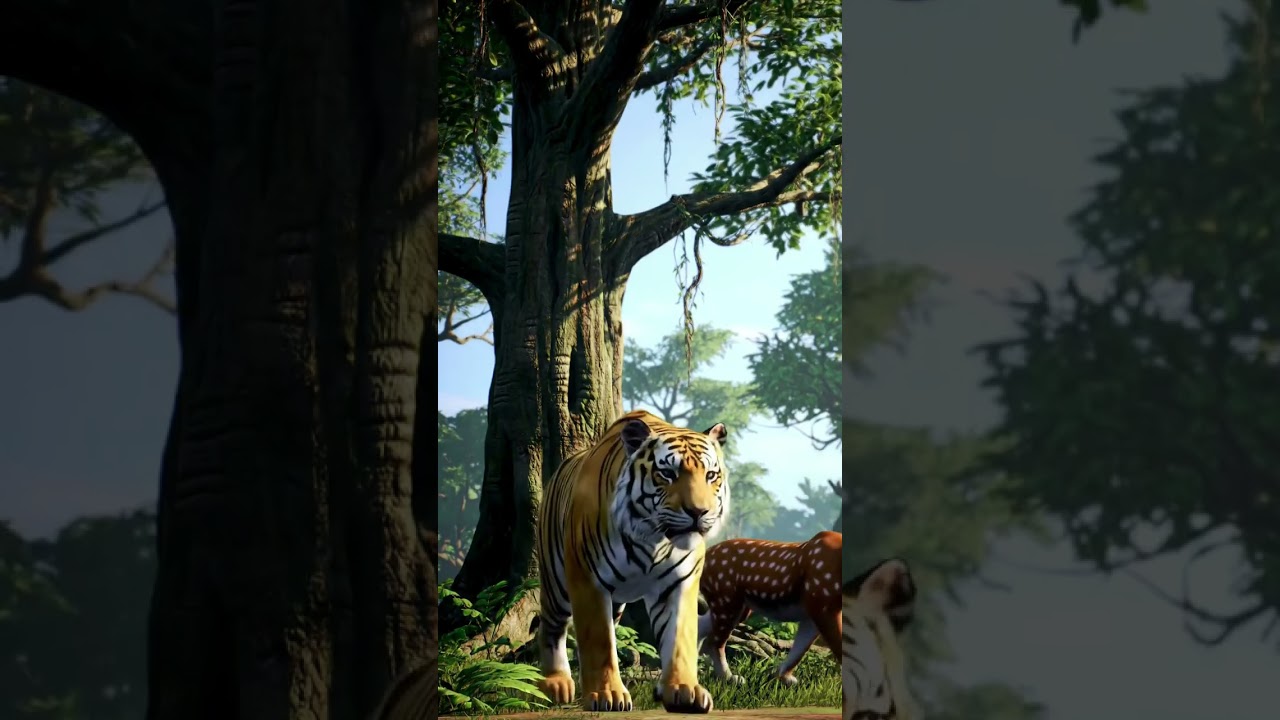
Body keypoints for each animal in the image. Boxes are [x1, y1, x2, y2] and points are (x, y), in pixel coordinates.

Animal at [536, 409, 731, 714]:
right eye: (668, 473)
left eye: (711, 475)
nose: (699, 512)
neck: (653, 538)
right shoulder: (588, 580)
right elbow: (599, 642)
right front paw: (608, 695)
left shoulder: (679, 583)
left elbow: (680, 639)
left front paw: (684, 690)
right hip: (558, 585)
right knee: (550, 626)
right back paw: (556, 684)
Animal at [696, 531, 843, 686]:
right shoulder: (823, 607)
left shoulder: (812, 615)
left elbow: (800, 648)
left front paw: (783, 678)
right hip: (727, 600)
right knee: (713, 641)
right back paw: (729, 678)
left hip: (735, 606)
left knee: (699, 627)